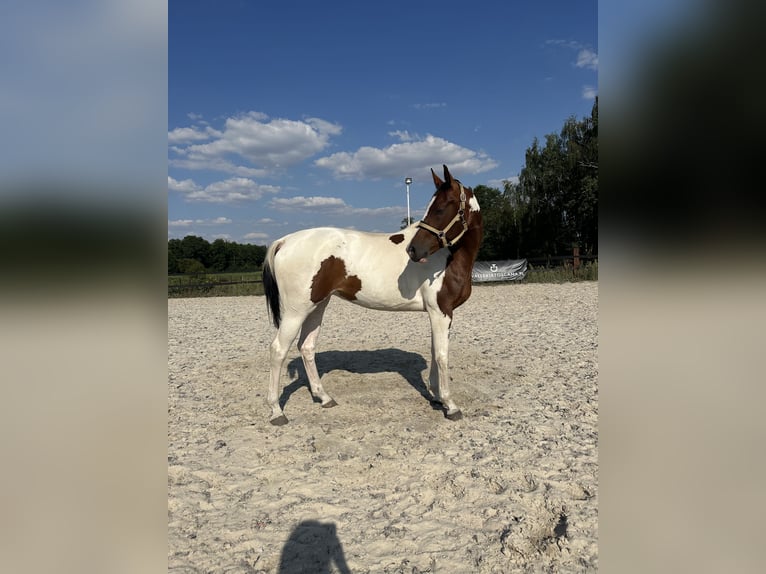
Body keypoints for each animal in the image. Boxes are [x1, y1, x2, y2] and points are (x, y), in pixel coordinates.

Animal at [260, 164, 484, 426]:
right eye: (433, 207)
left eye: (441, 208)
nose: (413, 250)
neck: (449, 258)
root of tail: (284, 241)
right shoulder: (441, 312)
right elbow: (441, 355)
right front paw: (450, 405)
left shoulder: (437, 314)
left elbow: (433, 351)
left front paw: (436, 397)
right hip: (296, 311)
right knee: (278, 350)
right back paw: (277, 411)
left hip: (317, 305)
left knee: (306, 347)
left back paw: (324, 398)